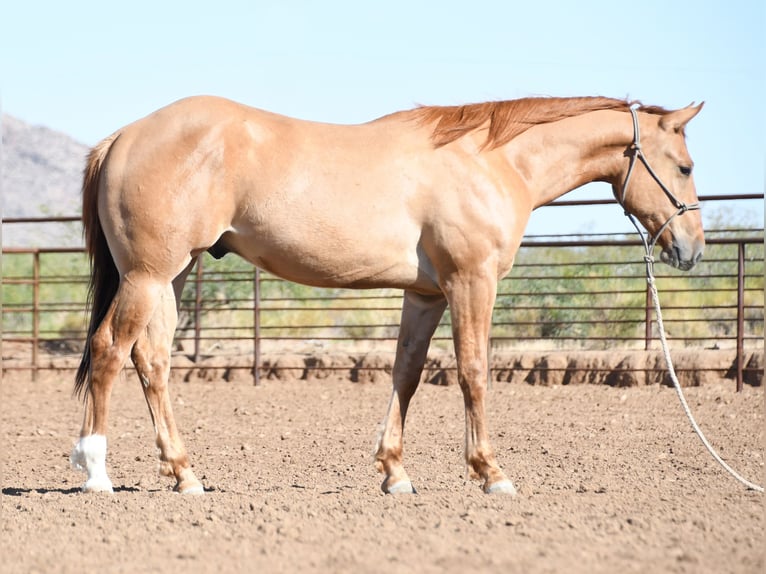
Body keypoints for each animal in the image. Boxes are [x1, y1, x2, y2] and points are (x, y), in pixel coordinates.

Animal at [69, 95, 705, 495]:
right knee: (108, 351)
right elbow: (474, 371)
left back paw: (185, 475)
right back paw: (96, 472)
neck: (490, 160)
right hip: (148, 275)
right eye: (685, 165)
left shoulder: (425, 294)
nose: (692, 248)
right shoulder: (471, 282)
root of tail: (124, 136)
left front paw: (395, 473)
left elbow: (408, 373)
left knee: (151, 361)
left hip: (169, 277)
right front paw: (491, 473)